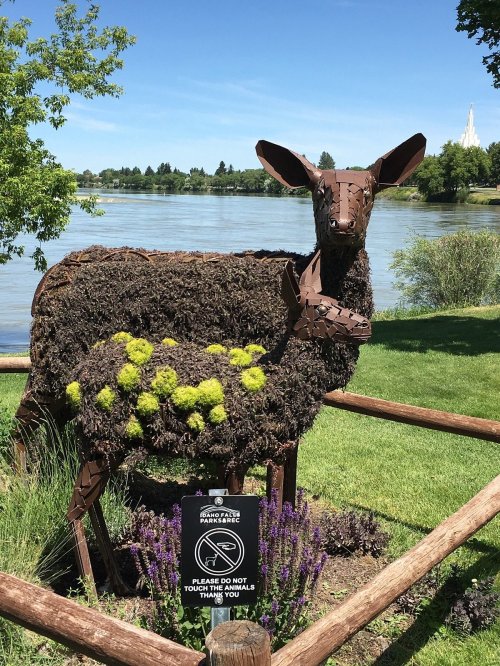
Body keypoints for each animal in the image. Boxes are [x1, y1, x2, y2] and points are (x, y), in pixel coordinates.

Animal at [14, 133, 426, 593]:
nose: (341, 226)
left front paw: (289, 540)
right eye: (319, 191)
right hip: (52, 365)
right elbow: (271, 483)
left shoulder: (284, 420)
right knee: (24, 421)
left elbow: (287, 480)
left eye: (370, 192)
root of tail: (48, 278)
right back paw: (20, 487)